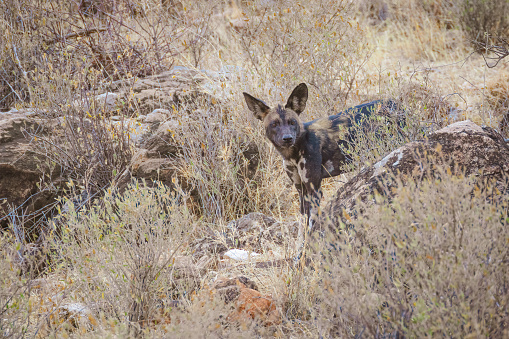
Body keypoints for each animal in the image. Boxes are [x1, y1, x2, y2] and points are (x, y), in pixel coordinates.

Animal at [242, 83, 400, 235]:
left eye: (292, 122)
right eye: (274, 124)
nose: (287, 138)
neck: (292, 153)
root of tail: (396, 103)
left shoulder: (314, 190)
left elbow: (312, 225)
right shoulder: (302, 191)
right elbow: (302, 228)